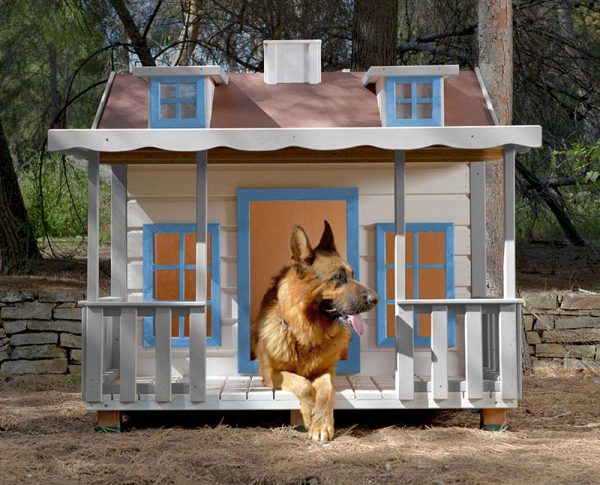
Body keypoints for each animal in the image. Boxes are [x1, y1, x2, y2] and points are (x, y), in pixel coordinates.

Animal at [251, 221, 378, 440]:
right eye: (338, 276)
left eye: (353, 275)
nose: (376, 299)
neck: (304, 333)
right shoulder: (270, 372)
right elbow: (303, 383)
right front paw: (310, 414)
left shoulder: (326, 371)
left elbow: (326, 391)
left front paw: (321, 424)